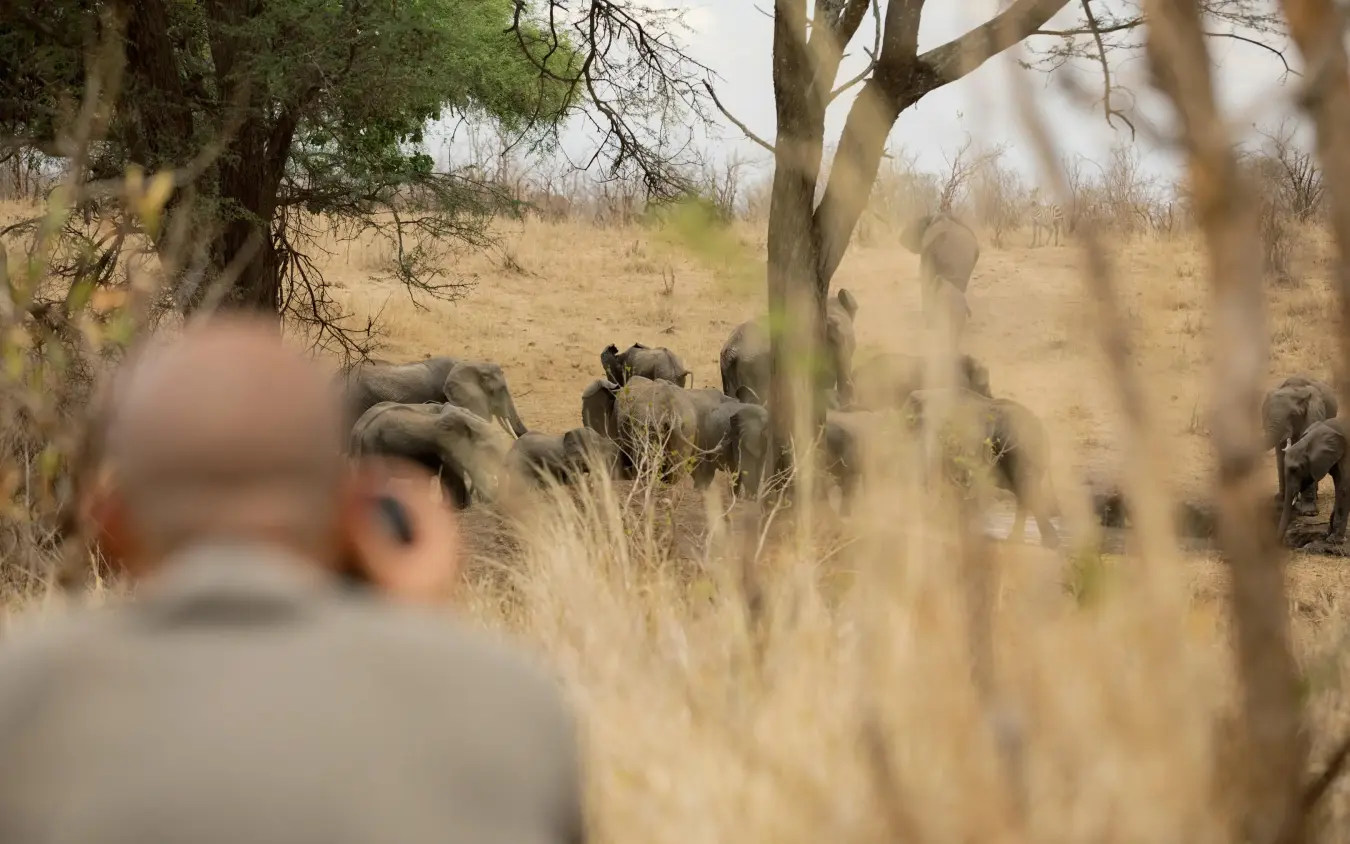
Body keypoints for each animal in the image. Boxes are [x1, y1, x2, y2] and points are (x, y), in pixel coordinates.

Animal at [1263, 375, 1338, 517]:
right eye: (1267, 415)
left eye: (1293, 415)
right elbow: (1281, 457)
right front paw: (1280, 503)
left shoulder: (1313, 415)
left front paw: (1309, 513)